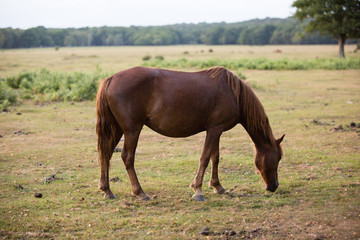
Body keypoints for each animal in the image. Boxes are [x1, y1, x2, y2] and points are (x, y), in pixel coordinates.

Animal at [95, 66, 284, 202]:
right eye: (278, 158)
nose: (274, 186)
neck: (233, 93)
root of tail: (111, 79)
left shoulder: (216, 130)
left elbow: (215, 157)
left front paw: (218, 186)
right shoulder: (214, 129)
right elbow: (205, 158)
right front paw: (198, 190)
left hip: (118, 128)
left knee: (105, 154)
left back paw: (107, 190)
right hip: (132, 130)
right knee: (127, 157)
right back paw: (140, 192)